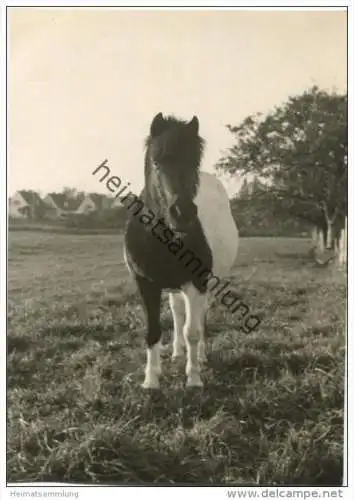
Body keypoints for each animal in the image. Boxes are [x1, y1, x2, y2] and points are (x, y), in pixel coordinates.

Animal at [123, 114, 239, 390]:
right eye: (156, 162)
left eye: (194, 162)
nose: (182, 214)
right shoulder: (146, 283)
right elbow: (153, 330)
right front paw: (151, 380)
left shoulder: (197, 282)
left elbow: (192, 331)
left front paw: (194, 378)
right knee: (176, 311)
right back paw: (176, 353)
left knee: (199, 316)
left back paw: (201, 356)